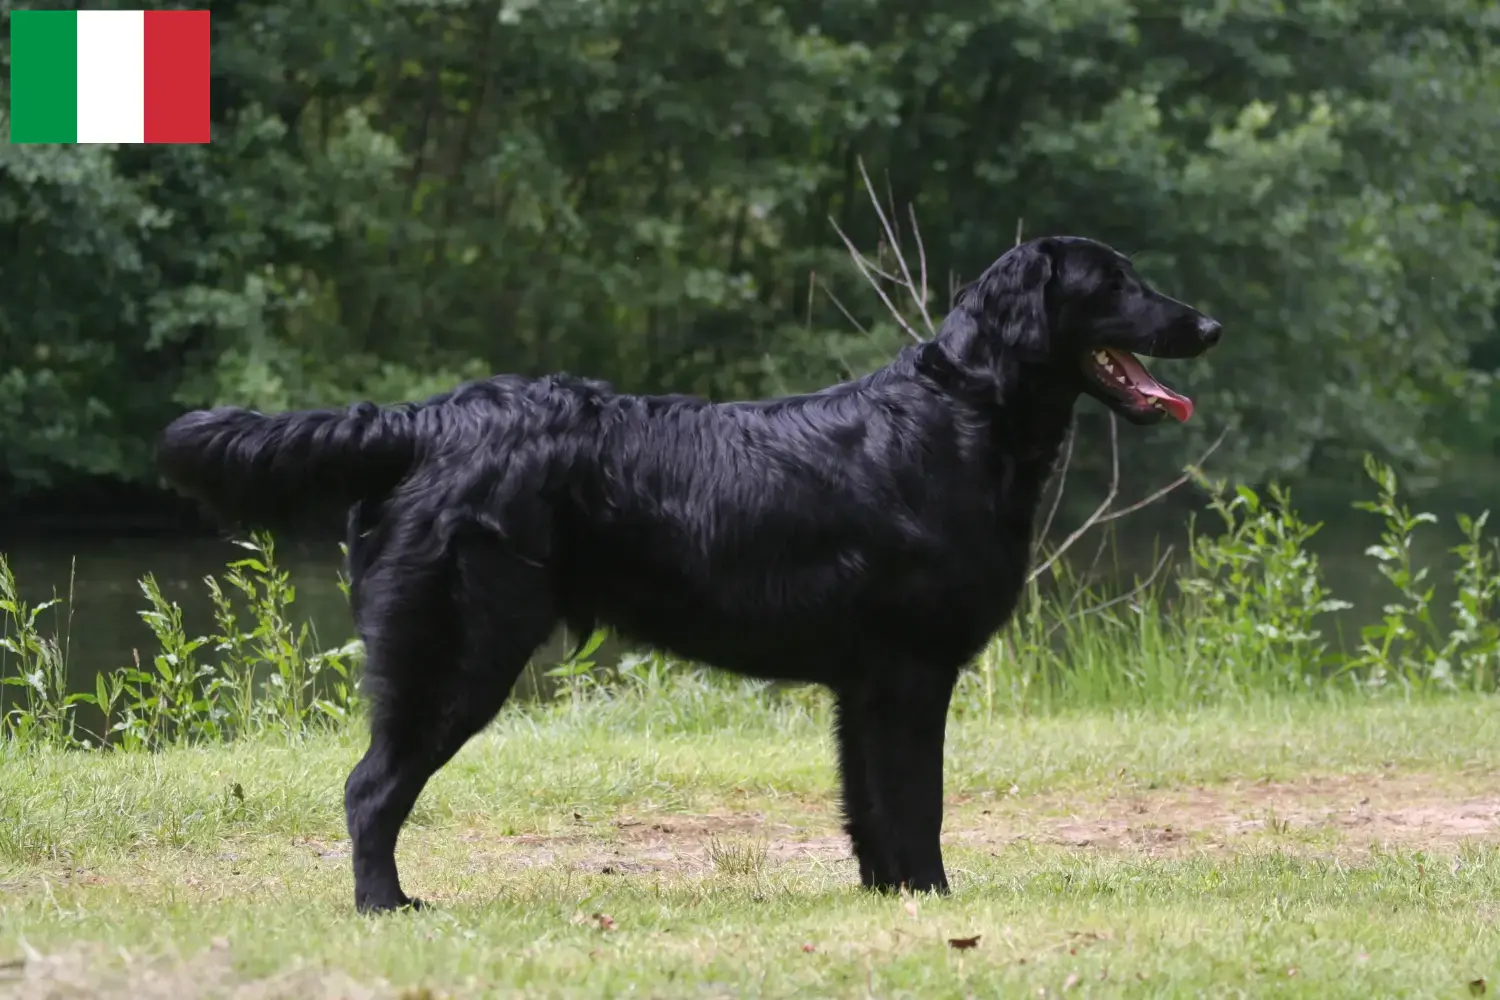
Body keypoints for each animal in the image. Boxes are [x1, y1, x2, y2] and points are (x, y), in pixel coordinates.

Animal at [158, 236, 1224, 917]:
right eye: (1115, 282)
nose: (1211, 324)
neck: (962, 414)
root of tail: (425, 420)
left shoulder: (865, 685)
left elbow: (871, 806)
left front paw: (889, 897)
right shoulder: (910, 673)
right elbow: (916, 803)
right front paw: (932, 897)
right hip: (458, 654)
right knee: (370, 788)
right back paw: (387, 905)